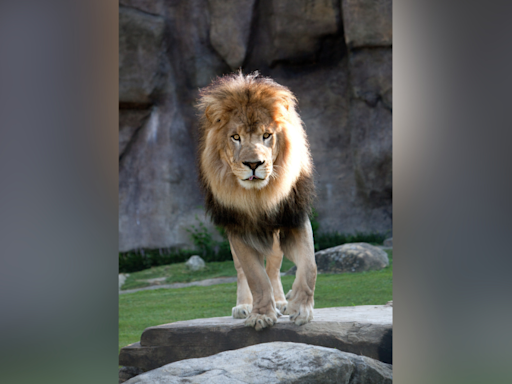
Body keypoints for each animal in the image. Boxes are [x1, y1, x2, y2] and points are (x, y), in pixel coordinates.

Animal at [196, 73, 316, 332]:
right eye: (236, 137)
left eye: (267, 135)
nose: (254, 164)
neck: (258, 196)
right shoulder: (238, 228)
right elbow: (255, 276)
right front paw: (260, 315)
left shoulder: (293, 217)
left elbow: (309, 265)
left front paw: (300, 308)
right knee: (244, 271)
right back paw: (244, 306)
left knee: (273, 267)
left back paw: (280, 302)